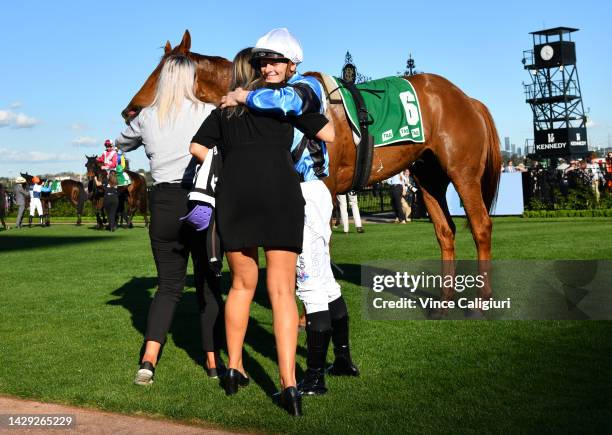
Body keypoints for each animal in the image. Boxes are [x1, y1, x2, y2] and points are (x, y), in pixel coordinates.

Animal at [120, 31, 502, 304]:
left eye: (162, 75)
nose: (129, 110)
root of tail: (467, 99)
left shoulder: (320, 189)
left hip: (463, 173)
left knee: (481, 225)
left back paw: (483, 296)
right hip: (428, 177)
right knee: (445, 232)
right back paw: (445, 298)